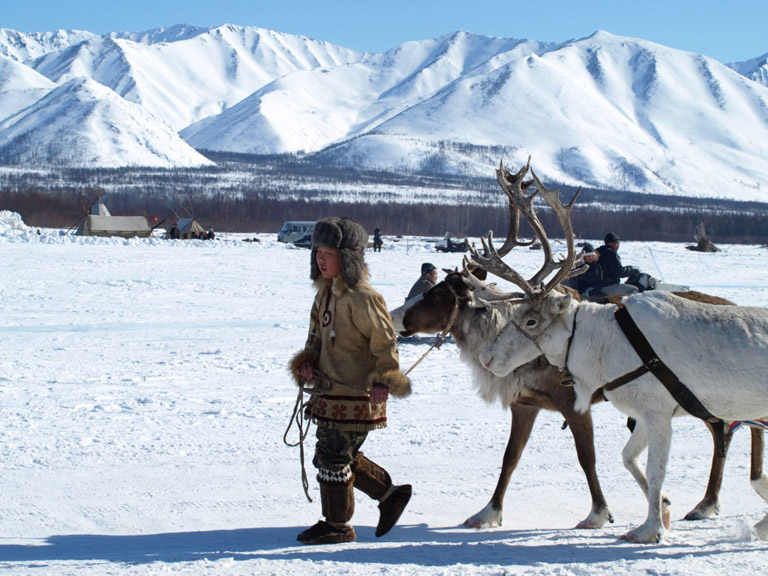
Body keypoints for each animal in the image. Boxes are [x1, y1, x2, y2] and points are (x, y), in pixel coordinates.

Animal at [390, 158, 763, 530]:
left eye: (438, 294)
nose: (394, 315)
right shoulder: (525, 404)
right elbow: (510, 458)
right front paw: (488, 512)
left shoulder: (574, 403)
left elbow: (587, 458)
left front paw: (599, 512)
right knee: (736, 425)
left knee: (725, 429)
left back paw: (709, 502)